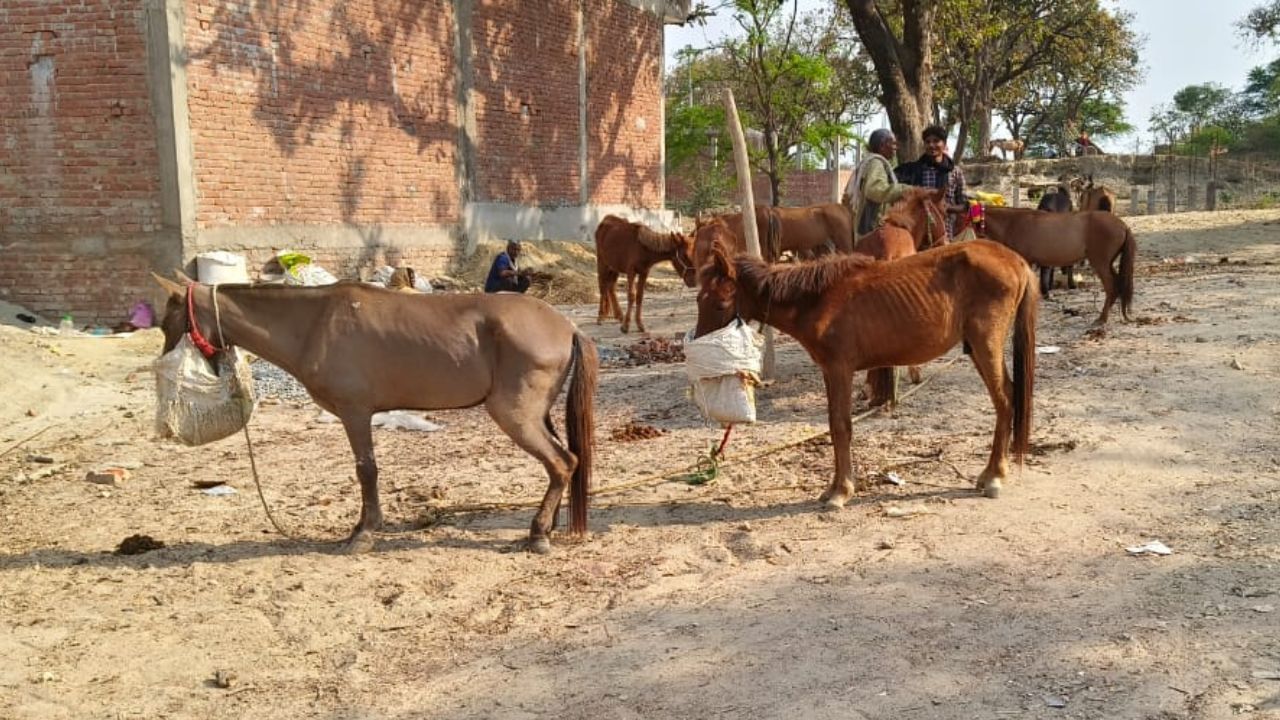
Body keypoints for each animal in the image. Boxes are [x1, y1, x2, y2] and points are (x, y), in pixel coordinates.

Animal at [151, 274, 599, 556]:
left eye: (168, 320)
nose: (163, 360)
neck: (315, 323)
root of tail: (567, 326)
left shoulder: (355, 412)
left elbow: (366, 469)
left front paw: (365, 532)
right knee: (563, 464)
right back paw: (546, 525)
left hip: (515, 415)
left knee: (562, 463)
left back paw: (538, 534)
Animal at [691, 229, 1039, 504]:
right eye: (698, 299)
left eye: (720, 304)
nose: (696, 345)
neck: (817, 300)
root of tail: (1017, 261)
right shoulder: (831, 372)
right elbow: (836, 425)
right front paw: (836, 487)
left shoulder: (840, 370)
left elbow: (841, 425)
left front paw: (841, 491)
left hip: (985, 345)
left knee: (1005, 399)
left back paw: (994, 476)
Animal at [972, 204, 1136, 322]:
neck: (1013, 223)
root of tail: (1123, 225)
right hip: (1108, 264)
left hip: (1101, 263)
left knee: (1111, 286)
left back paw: (1102, 318)